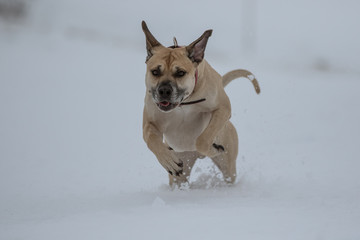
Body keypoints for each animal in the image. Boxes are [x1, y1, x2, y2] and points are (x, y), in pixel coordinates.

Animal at [141, 21, 258, 188]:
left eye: (180, 73)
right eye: (155, 72)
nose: (164, 90)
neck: (184, 103)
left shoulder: (223, 109)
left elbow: (202, 139)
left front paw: (212, 149)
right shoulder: (150, 121)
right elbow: (151, 139)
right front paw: (167, 160)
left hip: (228, 165)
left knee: (228, 173)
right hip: (181, 169)